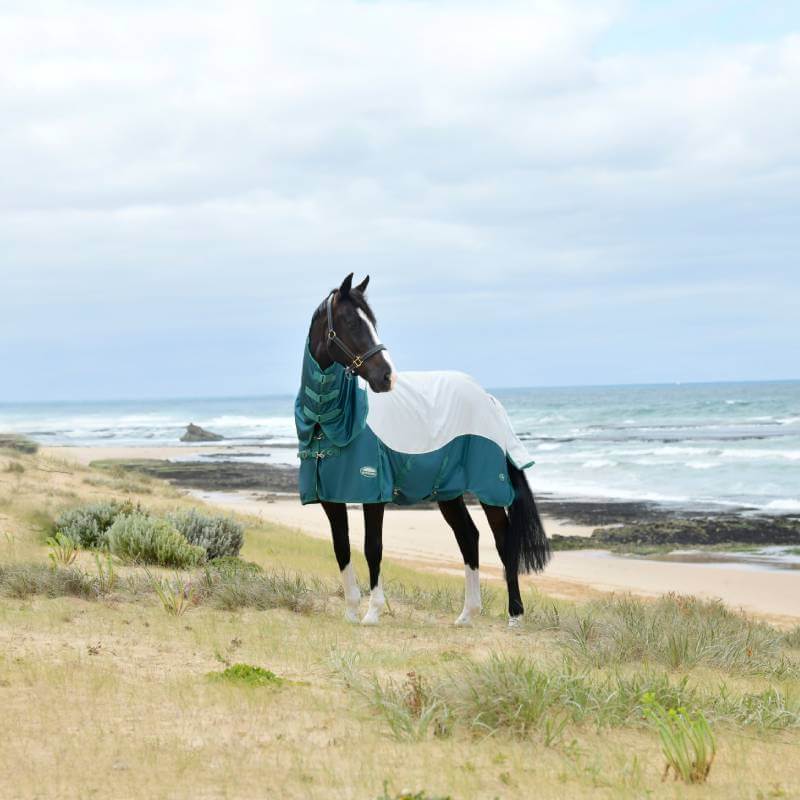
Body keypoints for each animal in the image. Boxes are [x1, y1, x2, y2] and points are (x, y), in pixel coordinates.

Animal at [295, 273, 550, 627]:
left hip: (490, 487)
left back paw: (514, 615)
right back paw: (467, 614)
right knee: (469, 538)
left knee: (503, 541)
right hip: (449, 491)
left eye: (373, 322)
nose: (386, 377)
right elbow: (341, 547)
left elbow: (372, 546)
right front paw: (351, 611)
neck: (330, 419)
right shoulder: (331, 497)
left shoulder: (373, 492)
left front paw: (372, 612)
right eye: (351, 322)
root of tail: (487, 398)